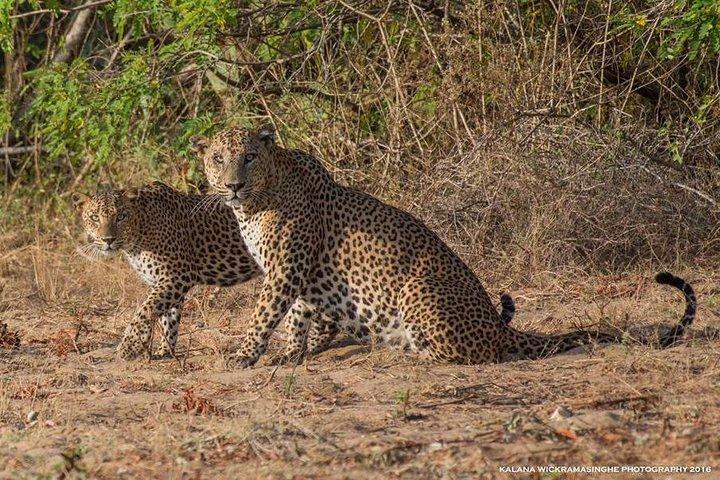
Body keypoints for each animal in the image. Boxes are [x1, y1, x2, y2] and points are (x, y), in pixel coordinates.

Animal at [72, 182, 372, 361]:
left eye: (121, 216)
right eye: (94, 218)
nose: (108, 239)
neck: (138, 235)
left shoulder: (176, 276)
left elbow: (145, 309)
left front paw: (129, 346)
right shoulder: (167, 282)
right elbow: (168, 318)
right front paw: (163, 351)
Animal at [189, 124, 696, 366]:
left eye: (248, 157)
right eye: (217, 158)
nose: (233, 185)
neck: (255, 203)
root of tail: (495, 324)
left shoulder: (286, 267)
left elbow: (264, 314)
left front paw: (244, 355)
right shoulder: (297, 272)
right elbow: (297, 315)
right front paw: (295, 353)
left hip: (419, 291)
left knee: (475, 355)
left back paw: (407, 350)